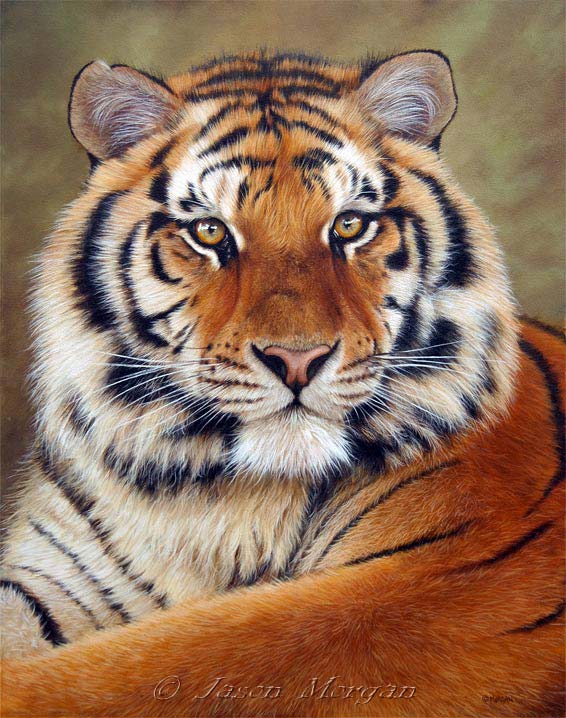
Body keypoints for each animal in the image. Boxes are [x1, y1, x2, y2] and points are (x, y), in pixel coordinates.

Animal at [1, 50, 564, 717]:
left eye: (349, 226)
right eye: (210, 232)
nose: (297, 360)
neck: (215, 500)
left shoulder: (438, 582)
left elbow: (157, 665)